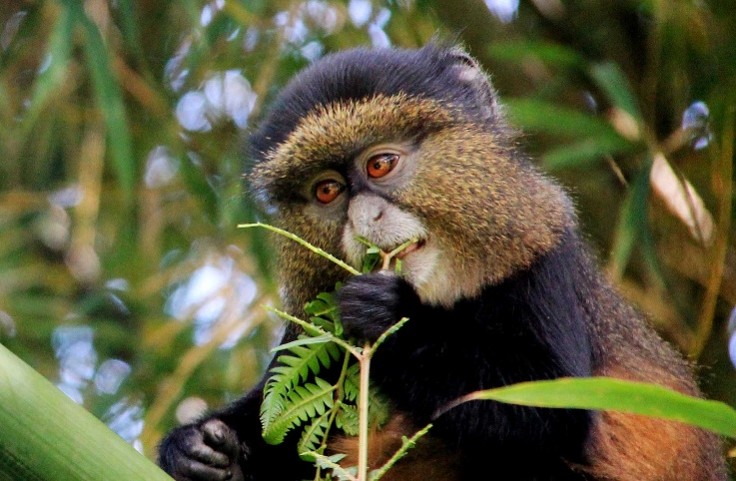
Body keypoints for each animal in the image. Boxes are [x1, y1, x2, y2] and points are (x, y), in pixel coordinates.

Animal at [157, 44, 726, 481]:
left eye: (380, 164)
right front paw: (198, 449)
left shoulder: (544, 262)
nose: (364, 216)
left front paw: (389, 315)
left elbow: (550, 411)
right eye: (327, 191)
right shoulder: (309, 327)